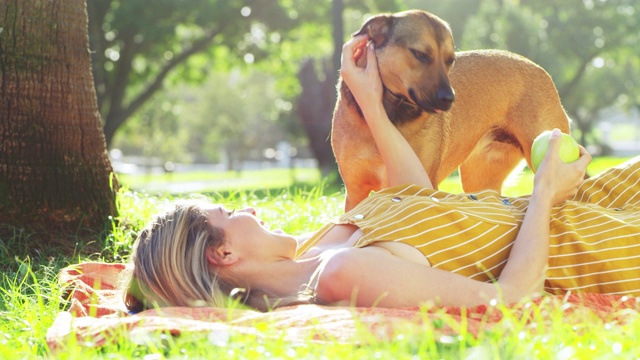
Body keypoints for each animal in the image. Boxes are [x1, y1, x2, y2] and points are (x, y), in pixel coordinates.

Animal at [332, 9, 568, 211]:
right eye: (419, 54)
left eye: (450, 59)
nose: (449, 99)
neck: (390, 114)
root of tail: (542, 71)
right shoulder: (355, 192)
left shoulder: (421, 184)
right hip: (480, 178)